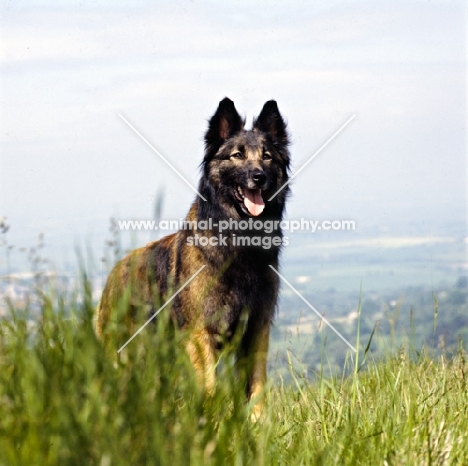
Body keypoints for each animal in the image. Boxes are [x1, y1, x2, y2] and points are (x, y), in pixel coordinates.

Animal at [97, 97, 290, 418]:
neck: (239, 241)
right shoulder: (201, 334)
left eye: (267, 157)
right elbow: (209, 387)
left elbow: (256, 386)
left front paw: (258, 424)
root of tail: (113, 273)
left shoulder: (257, 328)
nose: (258, 177)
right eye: (237, 155)